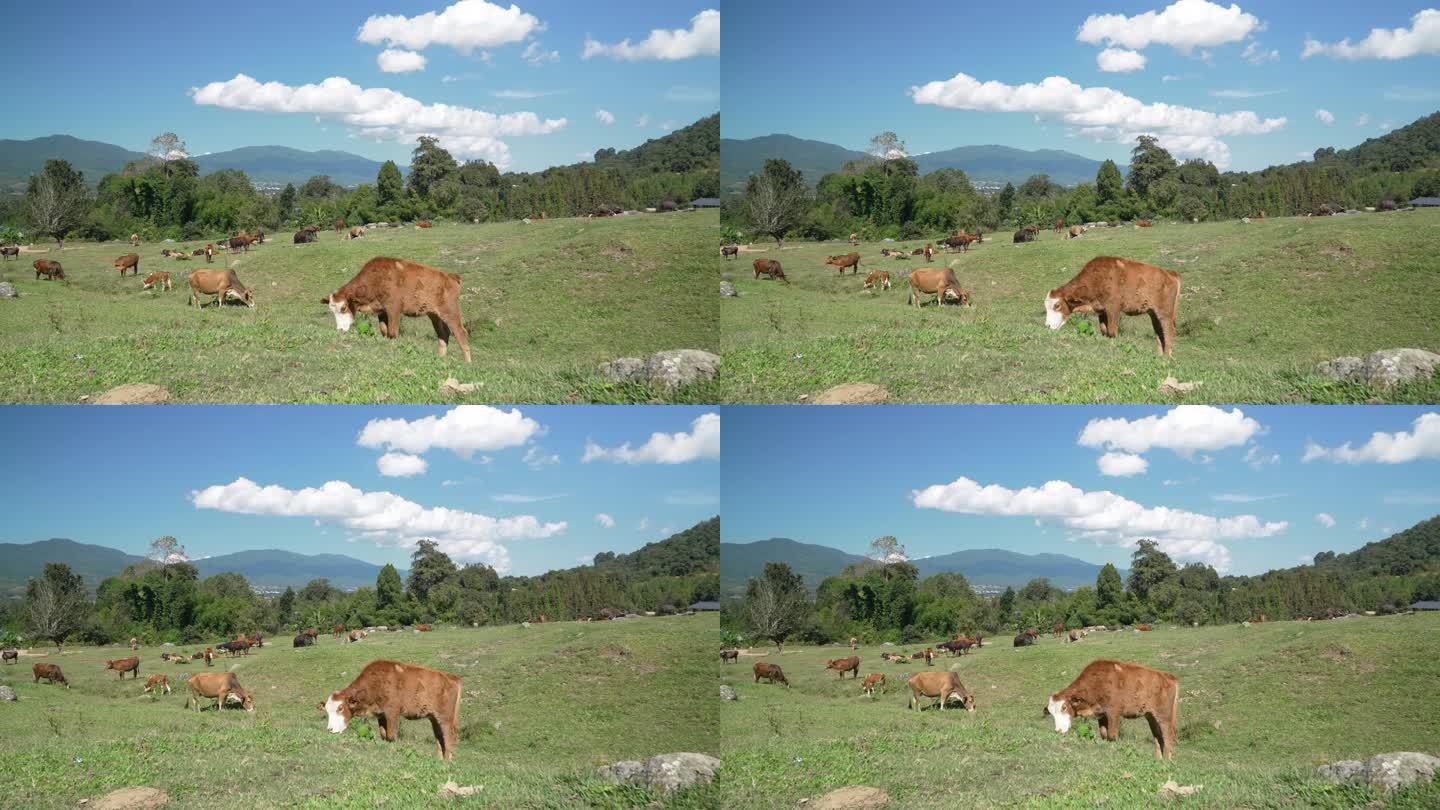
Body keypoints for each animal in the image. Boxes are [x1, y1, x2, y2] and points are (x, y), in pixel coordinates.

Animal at [322, 256, 472, 360]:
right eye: (331, 310)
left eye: (343, 307)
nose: (340, 330)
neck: (376, 279)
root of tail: (451, 276)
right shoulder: (381, 310)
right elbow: (384, 330)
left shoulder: (393, 308)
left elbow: (393, 332)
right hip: (434, 314)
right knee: (443, 334)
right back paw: (441, 359)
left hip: (450, 311)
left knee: (461, 333)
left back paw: (467, 363)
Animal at [324, 657, 463, 755]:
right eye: (327, 710)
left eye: (340, 708)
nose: (330, 729)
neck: (374, 684)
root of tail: (452, 677)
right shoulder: (381, 714)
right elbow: (383, 734)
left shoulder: (392, 711)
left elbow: (391, 735)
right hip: (434, 717)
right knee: (440, 738)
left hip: (446, 717)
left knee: (449, 737)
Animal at [1048, 253, 1180, 351]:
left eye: (1057, 305)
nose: (1047, 325)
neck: (1096, 278)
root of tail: (1170, 273)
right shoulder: (1101, 310)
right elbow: (1104, 330)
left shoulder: (1113, 308)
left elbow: (1112, 331)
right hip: (1153, 313)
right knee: (1159, 333)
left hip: (1165, 313)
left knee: (1169, 331)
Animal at [1048, 657, 1180, 755]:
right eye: (1051, 712)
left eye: (1064, 707)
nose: (1058, 730)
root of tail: (1168, 676)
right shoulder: (1101, 713)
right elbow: (1103, 734)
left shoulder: (1114, 712)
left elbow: (1112, 735)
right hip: (1151, 716)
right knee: (1158, 737)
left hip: (1164, 716)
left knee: (1168, 736)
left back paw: (1167, 761)